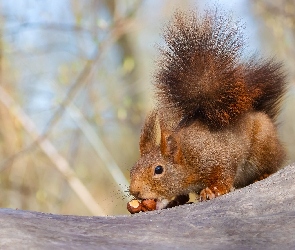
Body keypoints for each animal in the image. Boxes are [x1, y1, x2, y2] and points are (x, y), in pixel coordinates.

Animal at [129, 8, 286, 210]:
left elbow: (224, 173)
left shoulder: (218, 156)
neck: (187, 158)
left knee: (273, 165)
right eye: (132, 169)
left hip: (264, 147)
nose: (134, 191)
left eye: (158, 169)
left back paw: (263, 174)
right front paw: (174, 200)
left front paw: (213, 190)